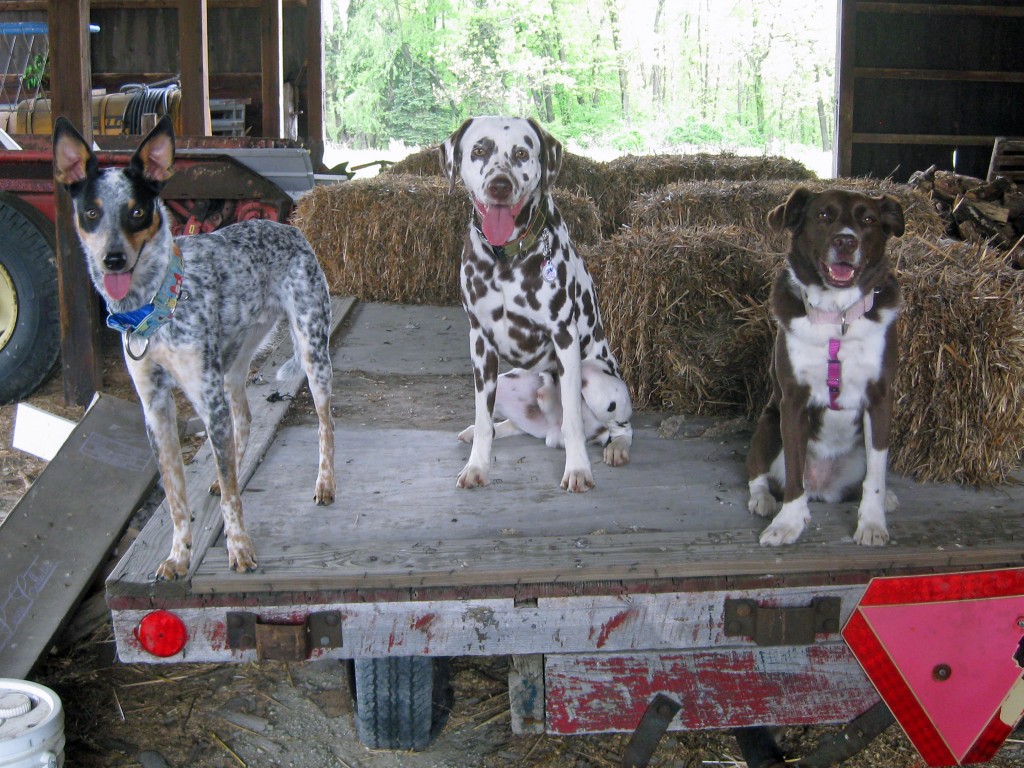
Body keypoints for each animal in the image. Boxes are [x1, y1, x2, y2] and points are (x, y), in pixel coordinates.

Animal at [745, 186, 905, 548]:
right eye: (824, 215)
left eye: (868, 220)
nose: (846, 241)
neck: (837, 317)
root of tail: (823, 488)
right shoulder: (792, 401)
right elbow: (794, 470)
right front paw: (788, 522)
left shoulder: (880, 398)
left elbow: (876, 474)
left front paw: (872, 522)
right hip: (767, 425)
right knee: (759, 474)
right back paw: (763, 500)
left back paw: (887, 498)